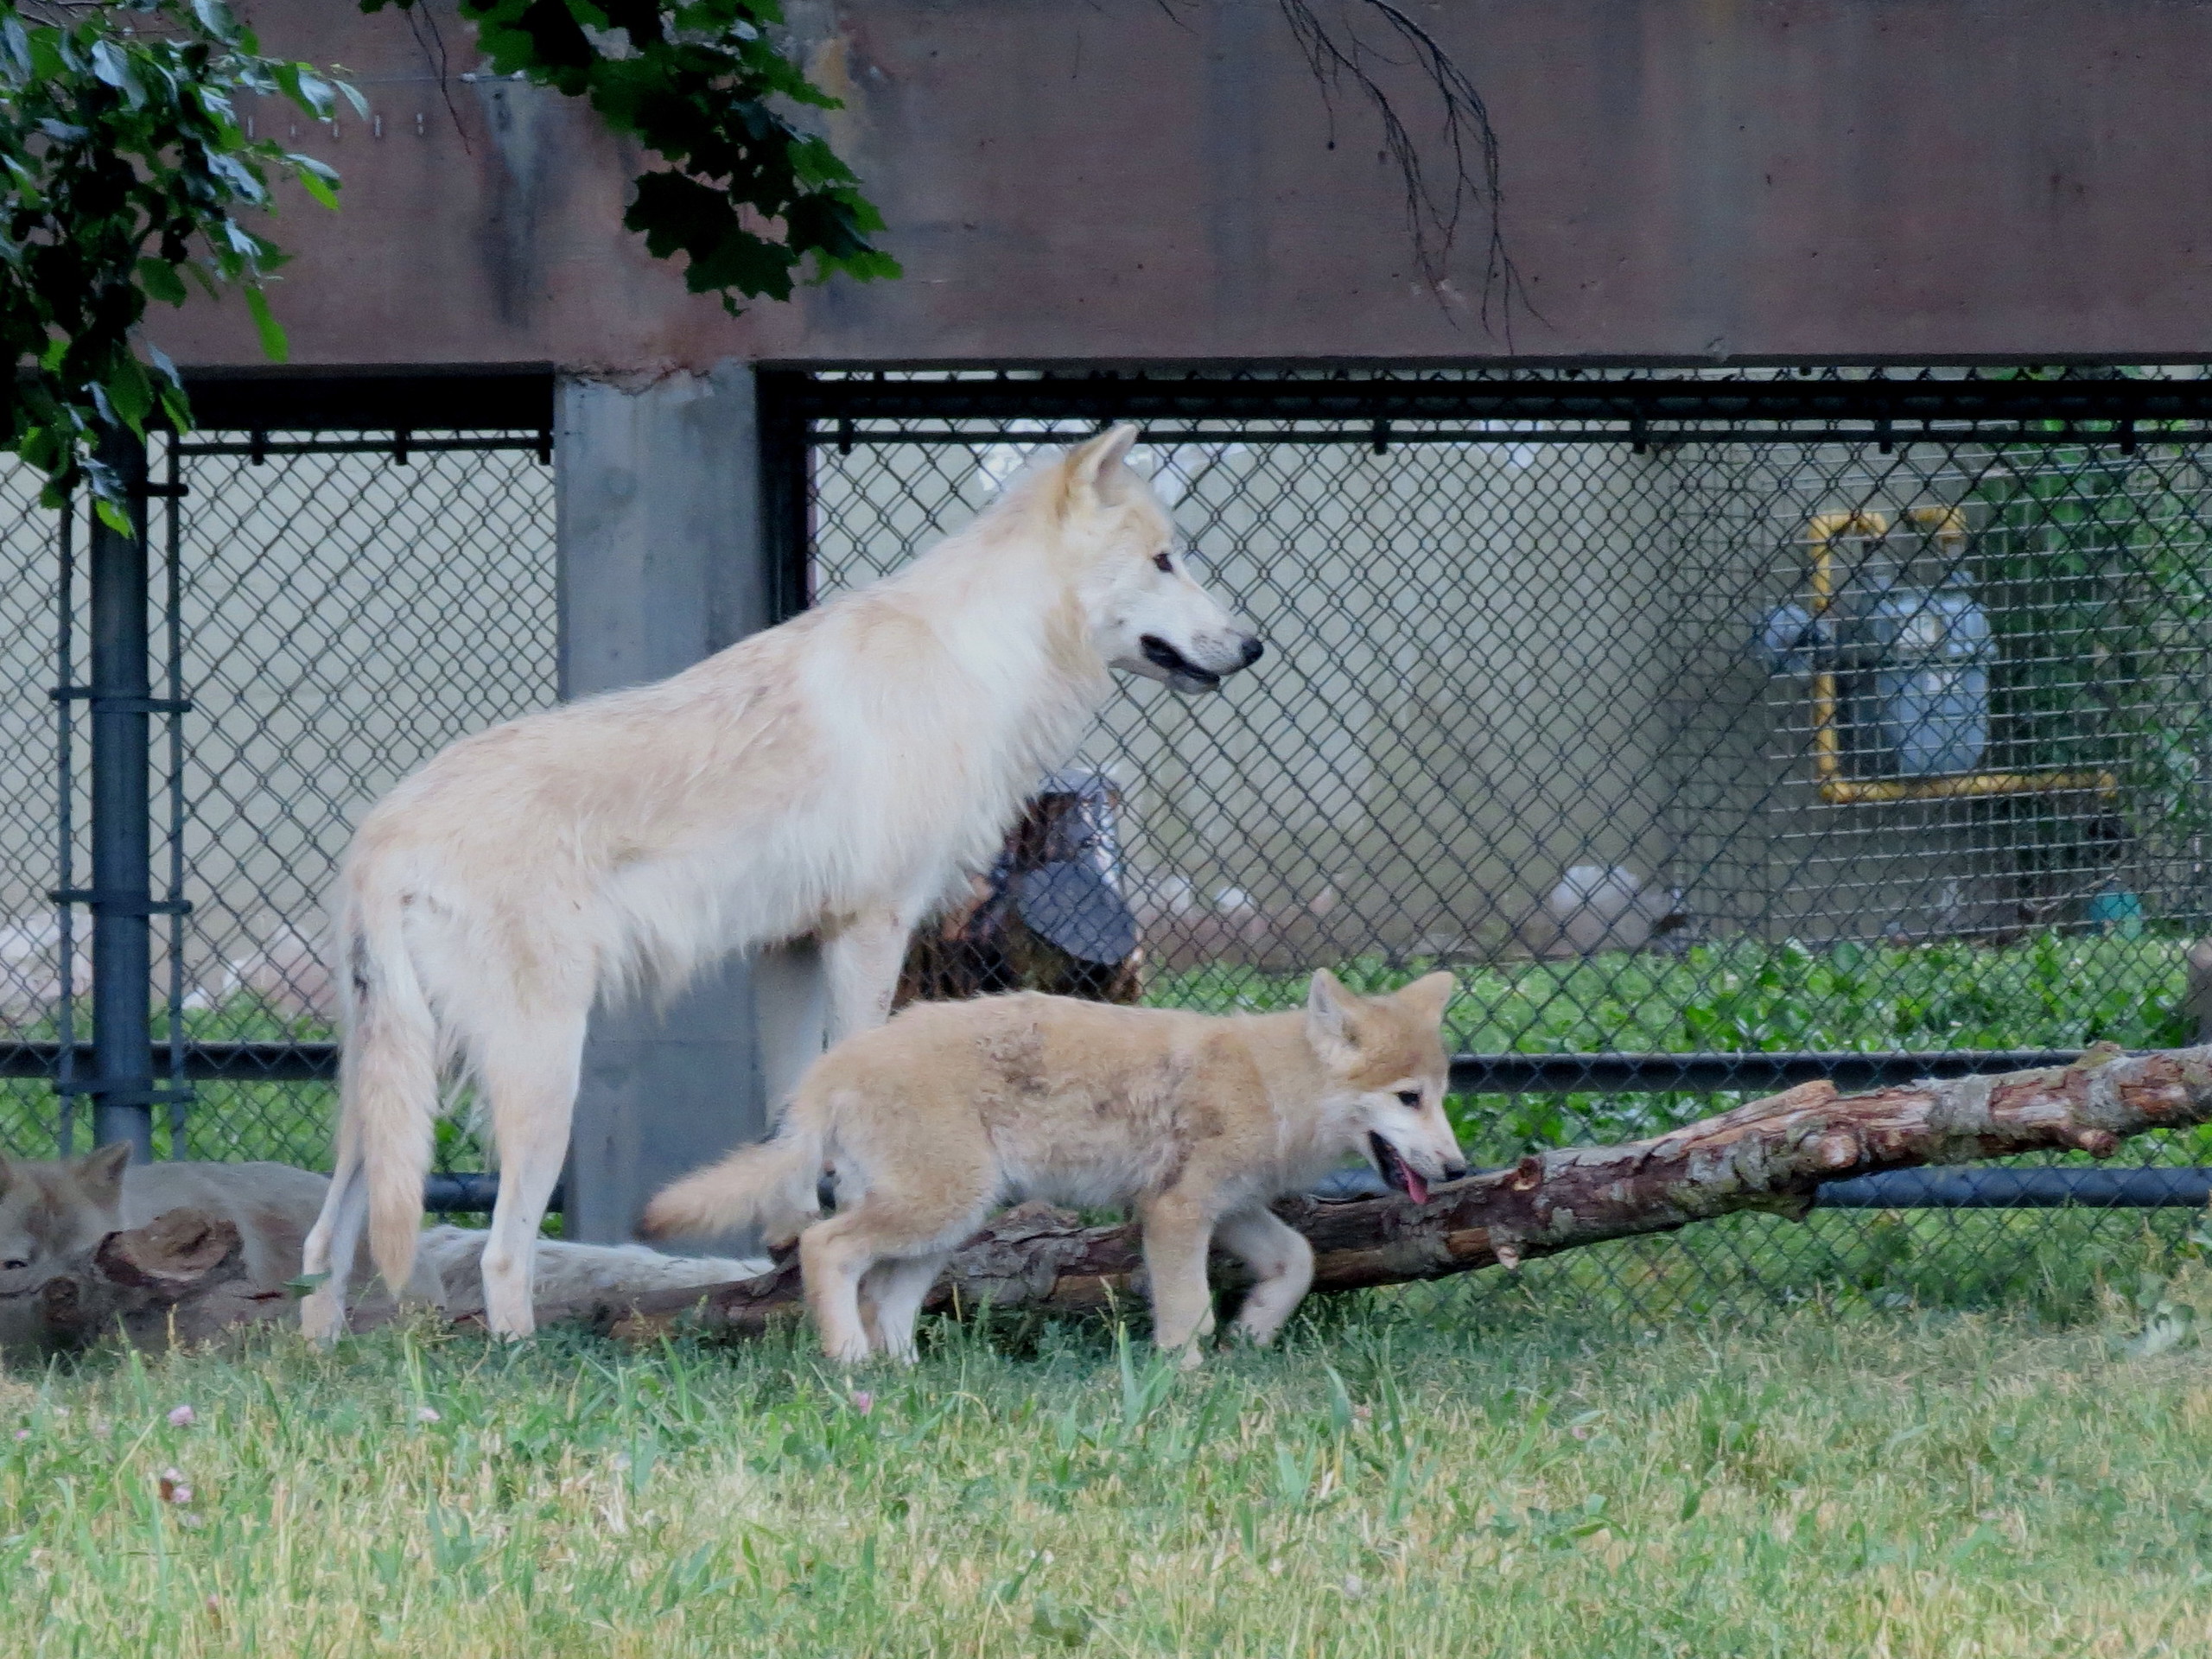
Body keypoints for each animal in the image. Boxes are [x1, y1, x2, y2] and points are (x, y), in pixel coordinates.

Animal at [301, 425, 1262, 1340]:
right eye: (1165, 558)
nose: (1252, 646)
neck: (978, 658)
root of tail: (383, 836)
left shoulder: (788, 947)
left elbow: (796, 1100)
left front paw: (789, 1236)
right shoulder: (871, 929)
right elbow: (848, 1074)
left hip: (386, 1093)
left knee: (326, 1239)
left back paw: (322, 1348)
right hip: (543, 1077)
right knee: (501, 1252)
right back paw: (519, 1358)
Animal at [641, 969, 1466, 1365]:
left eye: (1442, 1095)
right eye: (1409, 1098)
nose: (1459, 1171)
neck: (1271, 1085)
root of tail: (828, 1069)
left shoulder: (1224, 1208)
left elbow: (1297, 1262)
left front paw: (1253, 1333)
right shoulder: (1175, 1213)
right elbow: (1187, 1312)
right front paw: (1183, 1383)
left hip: (944, 1227)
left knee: (887, 1303)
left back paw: (901, 1380)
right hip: (937, 1209)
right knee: (825, 1248)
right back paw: (846, 1363)